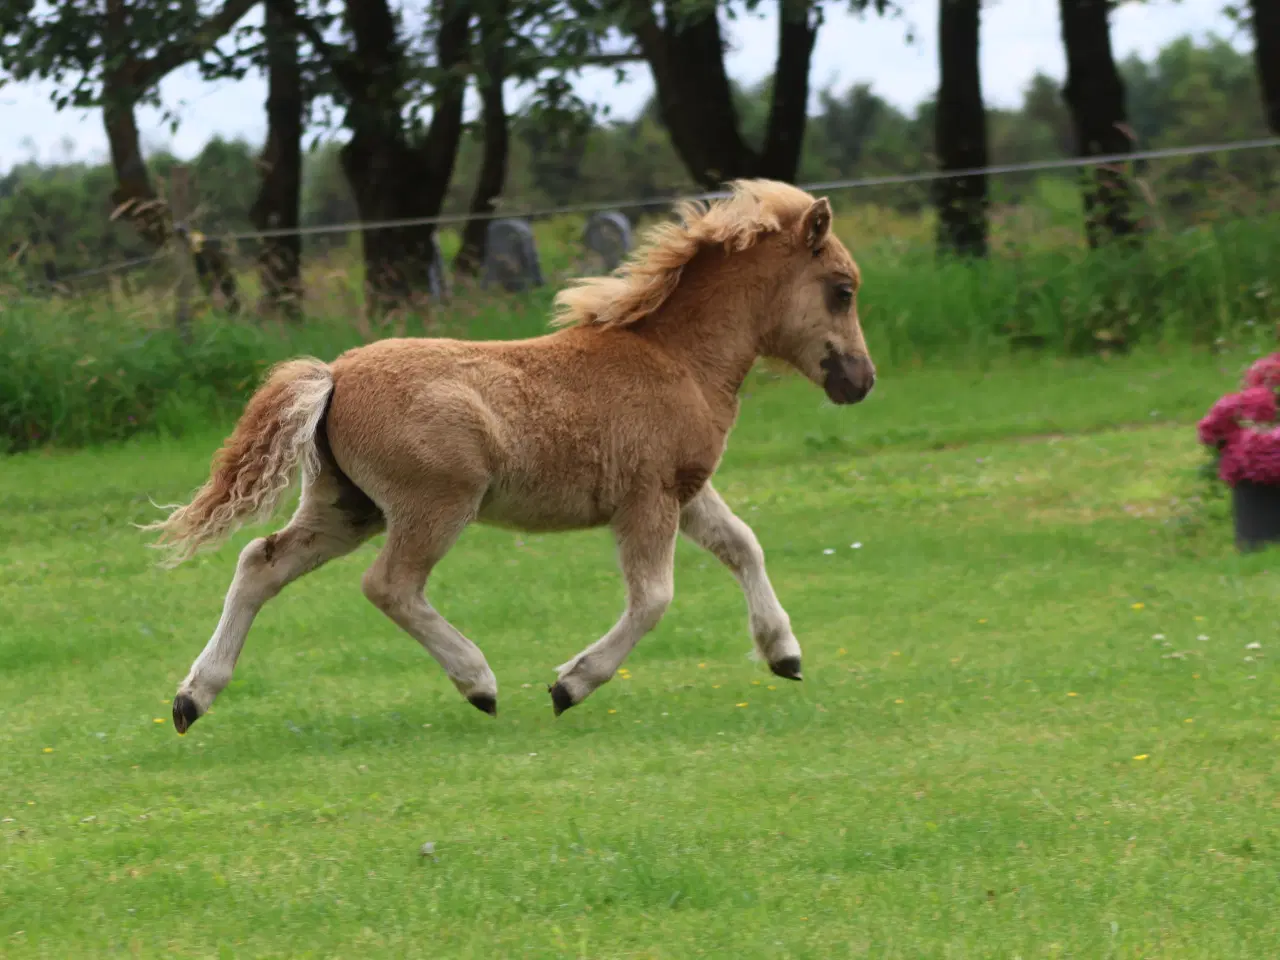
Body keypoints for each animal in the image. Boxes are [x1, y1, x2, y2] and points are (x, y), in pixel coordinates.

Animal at [147, 180, 870, 732]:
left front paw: (784, 653)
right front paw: (572, 683)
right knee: (389, 586)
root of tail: (334, 374)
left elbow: (742, 545)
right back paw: (479, 682)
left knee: (261, 563)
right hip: (434, 505)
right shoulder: (650, 499)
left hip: (347, 508)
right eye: (842, 289)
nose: (861, 381)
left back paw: (192, 698)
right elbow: (654, 598)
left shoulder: (686, 490)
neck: (677, 358)